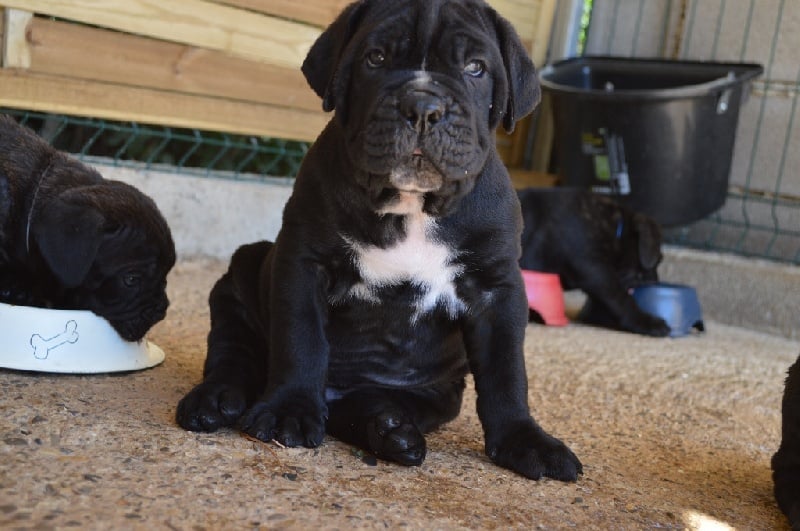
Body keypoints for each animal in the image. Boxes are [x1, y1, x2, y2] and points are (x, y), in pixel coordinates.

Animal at [177, 0, 580, 482]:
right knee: (233, 354)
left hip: (434, 393)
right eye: (376, 58)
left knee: (363, 404)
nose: (423, 105)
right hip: (240, 277)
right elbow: (300, 340)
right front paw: (289, 409)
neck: (412, 206)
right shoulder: (303, 262)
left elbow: (506, 372)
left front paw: (524, 438)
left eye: (476, 68)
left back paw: (389, 430)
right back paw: (216, 400)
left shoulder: (496, 289)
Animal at [520, 188, 668, 336]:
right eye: (659, 259)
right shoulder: (594, 268)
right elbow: (620, 297)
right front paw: (645, 321)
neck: (615, 231)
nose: (654, 282)